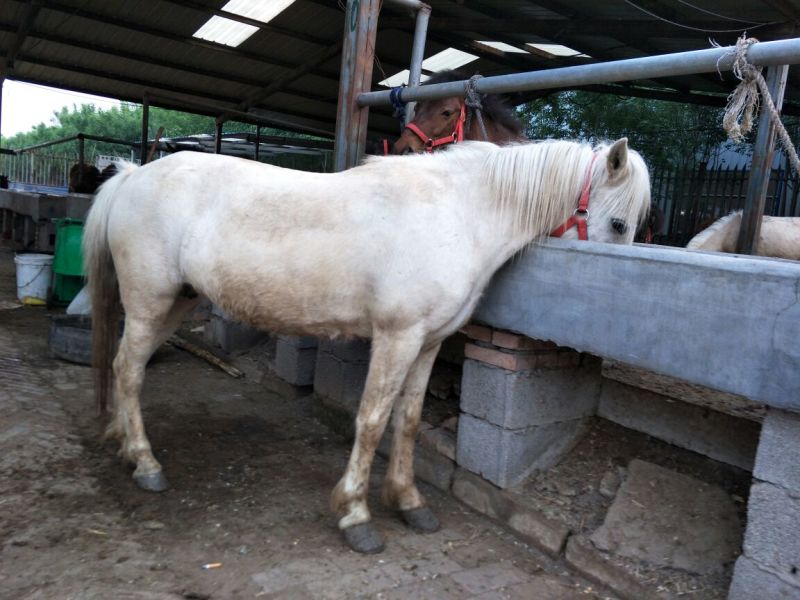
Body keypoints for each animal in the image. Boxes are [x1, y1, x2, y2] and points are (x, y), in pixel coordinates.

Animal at [83, 138, 650, 554]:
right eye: (618, 223)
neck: (458, 214)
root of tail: (132, 175)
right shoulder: (397, 337)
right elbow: (374, 419)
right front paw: (356, 515)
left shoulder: (428, 342)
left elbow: (409, 420)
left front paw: (409, 502)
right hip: (150, 303)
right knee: (129, 371)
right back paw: (147, 464)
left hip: (174, 304)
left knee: (124, 368)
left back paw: (124, 445)